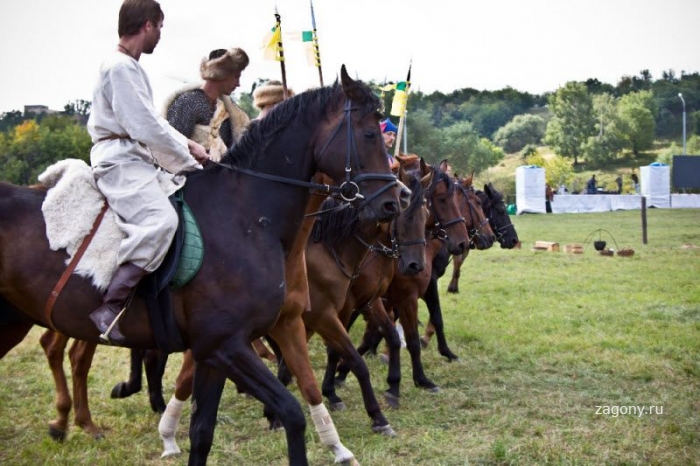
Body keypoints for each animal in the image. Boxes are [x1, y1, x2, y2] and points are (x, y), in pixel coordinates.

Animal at [0, 66, 402, 466]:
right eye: (369, 134)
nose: (394, 202)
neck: (244, 216)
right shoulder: (227, 345)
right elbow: (291, 412)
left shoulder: (217, 352)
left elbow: (203, 432)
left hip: (15, 322)